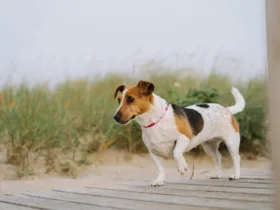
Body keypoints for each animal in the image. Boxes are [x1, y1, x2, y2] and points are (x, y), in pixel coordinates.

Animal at [113, 79, 245, 186]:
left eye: (130, 99)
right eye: (119, 100)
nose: (115, 117)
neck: (155, 121)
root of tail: (227, 110)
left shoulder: (184, 137)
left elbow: (176, 152)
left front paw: (182, 166)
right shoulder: (154, 153)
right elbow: (160, 169)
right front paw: (159, 181)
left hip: (231, 142)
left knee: (236, 158)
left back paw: (236, 175)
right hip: (209, 146)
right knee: (217, 157)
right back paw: (217, 174)